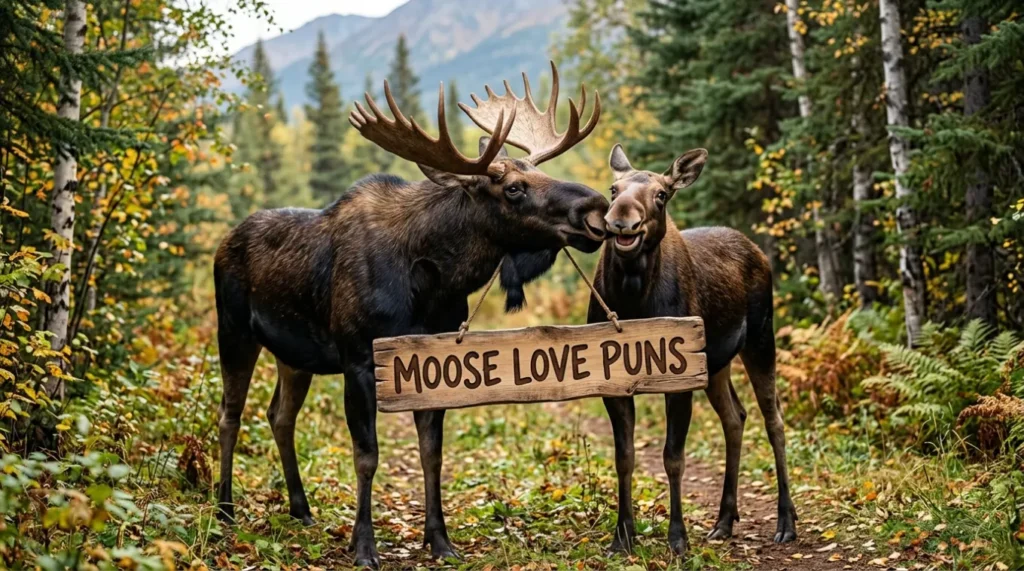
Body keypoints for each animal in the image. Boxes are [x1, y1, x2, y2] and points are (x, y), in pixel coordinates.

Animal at [214, 63, 606, 568]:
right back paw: (224, 509)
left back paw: (301, 509)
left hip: (295, 355)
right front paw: (363, 546)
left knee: (279, 416)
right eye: (514, 188)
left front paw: (440, 540)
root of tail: (224, 242)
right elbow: (367, 455)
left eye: (540, 170)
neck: (433, 282)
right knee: (230, 415)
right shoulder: (360, 359)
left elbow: (432, 453)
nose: (596, 207)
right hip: (234, 331)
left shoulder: (431, 359)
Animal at [587, 144, 797, 555]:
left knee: (774, 419)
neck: (634, 299)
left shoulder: (679, 379)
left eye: (661, 194)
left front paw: (677, 538)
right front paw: (622, 537)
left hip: (761, 337)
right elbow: (624, 457)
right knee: (736, 417)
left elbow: (673, 458)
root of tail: (758, 251)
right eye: (614, 188)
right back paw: (724, 520)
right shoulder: (613, 383)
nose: (621, 222)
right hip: (716, 364)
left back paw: (786, 521)